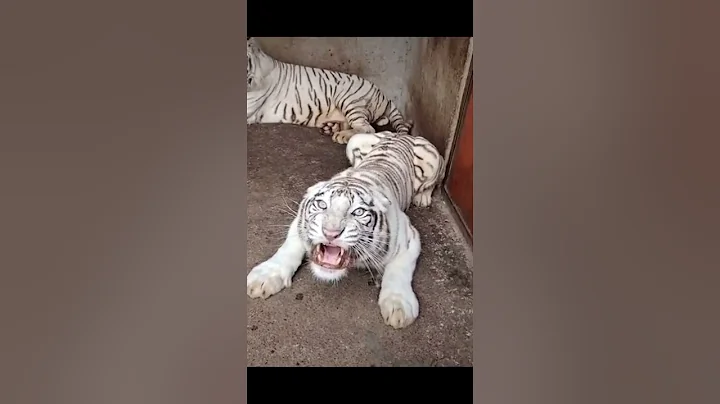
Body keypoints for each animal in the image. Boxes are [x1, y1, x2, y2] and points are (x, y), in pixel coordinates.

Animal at [246, 131, 445, 329]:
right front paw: (265, 277)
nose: (330, 233)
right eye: (322, 204)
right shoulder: (300, 223)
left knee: (434, 181)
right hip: (355, 140)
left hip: (434, 160)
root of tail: (401, 133)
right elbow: (288, 248)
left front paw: (399, 306)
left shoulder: (410, 237)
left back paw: (422, 198)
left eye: (358, 212)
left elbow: (399, 268)